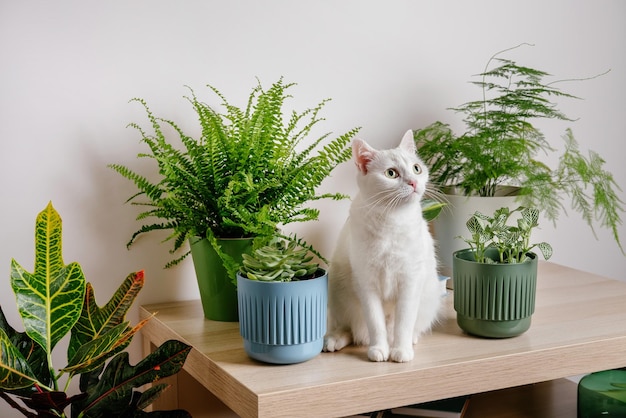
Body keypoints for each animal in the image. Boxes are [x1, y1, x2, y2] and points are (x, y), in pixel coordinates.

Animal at [324, 131, 442, 362]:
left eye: (416, 168)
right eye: (391, 173)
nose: (413, 182)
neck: (391, 221)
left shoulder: (410, 281)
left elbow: (403, 322)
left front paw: (401, 350)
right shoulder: (366, 283)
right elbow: (375, 323)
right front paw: (379, 349)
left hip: (429, 297)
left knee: (405, 326)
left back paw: (409, 340)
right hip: (337, 293)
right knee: (351, 329)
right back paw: (334, 340)